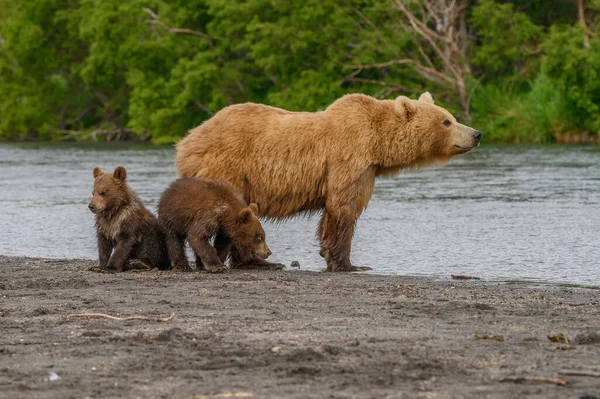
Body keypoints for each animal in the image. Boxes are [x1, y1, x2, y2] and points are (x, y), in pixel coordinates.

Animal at [176, 92, 480, 272]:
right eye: (446, 121)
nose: (477, 133)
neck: (378, 145)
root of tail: (187, 141)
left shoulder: (365, 168)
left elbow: (331, 214)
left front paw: (325, 251)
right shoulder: (348, 159)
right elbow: (344, 209)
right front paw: (348, 264)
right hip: (229, 168)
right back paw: (257, 262)